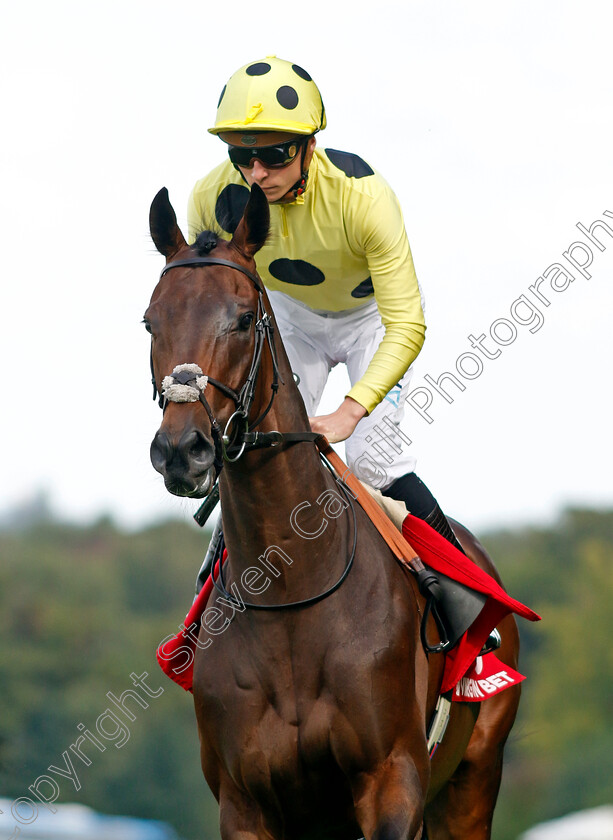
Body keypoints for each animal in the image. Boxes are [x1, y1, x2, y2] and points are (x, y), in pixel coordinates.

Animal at [145, 185, 520, 840]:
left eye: (241, 319)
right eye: (149, 320)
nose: (181, 450)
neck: (291, 591)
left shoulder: (392, 780)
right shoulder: (245, 802)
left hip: (474, 777)